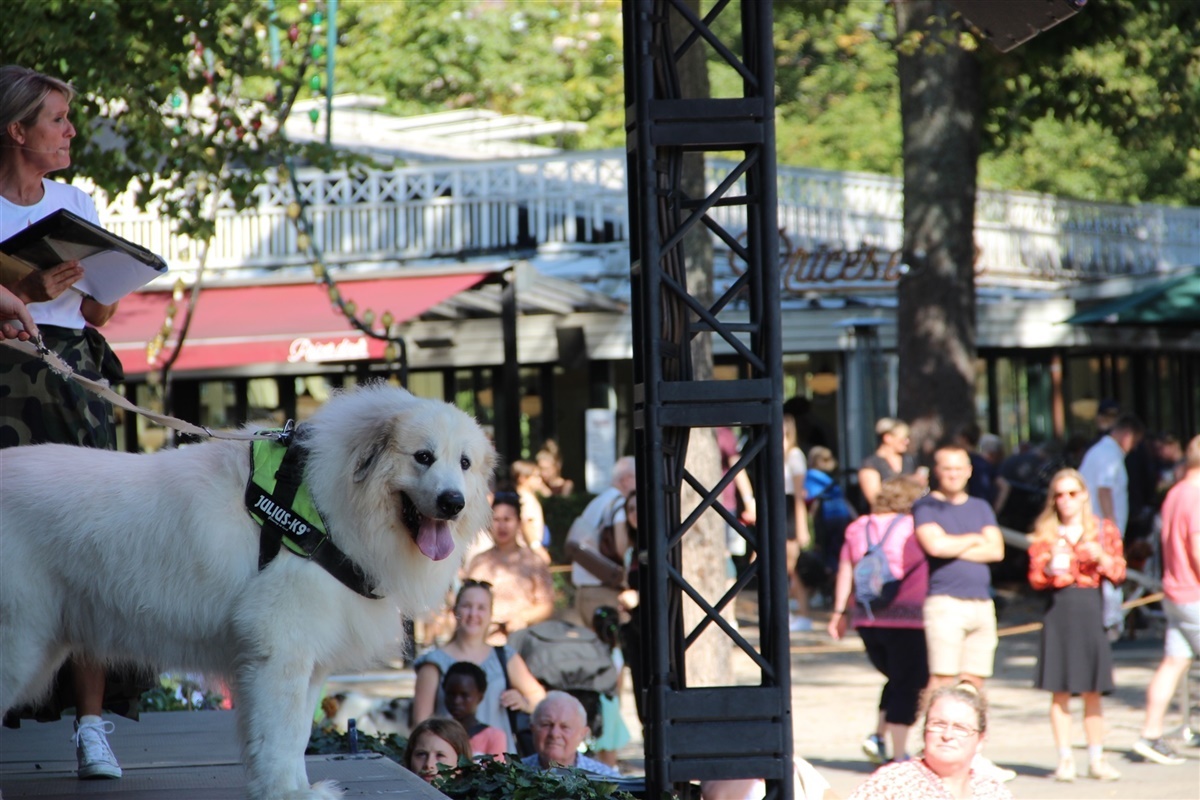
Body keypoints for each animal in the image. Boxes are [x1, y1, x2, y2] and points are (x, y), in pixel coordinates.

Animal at [0, 383, 494, 796]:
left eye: (464, 463)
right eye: (423, 457)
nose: (453, 502)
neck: (329, 505)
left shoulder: (309, 660)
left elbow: (297, 734)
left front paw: (299, 789)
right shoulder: (281, 650)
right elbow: (280, 735)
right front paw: (286, 793)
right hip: (20, 643)